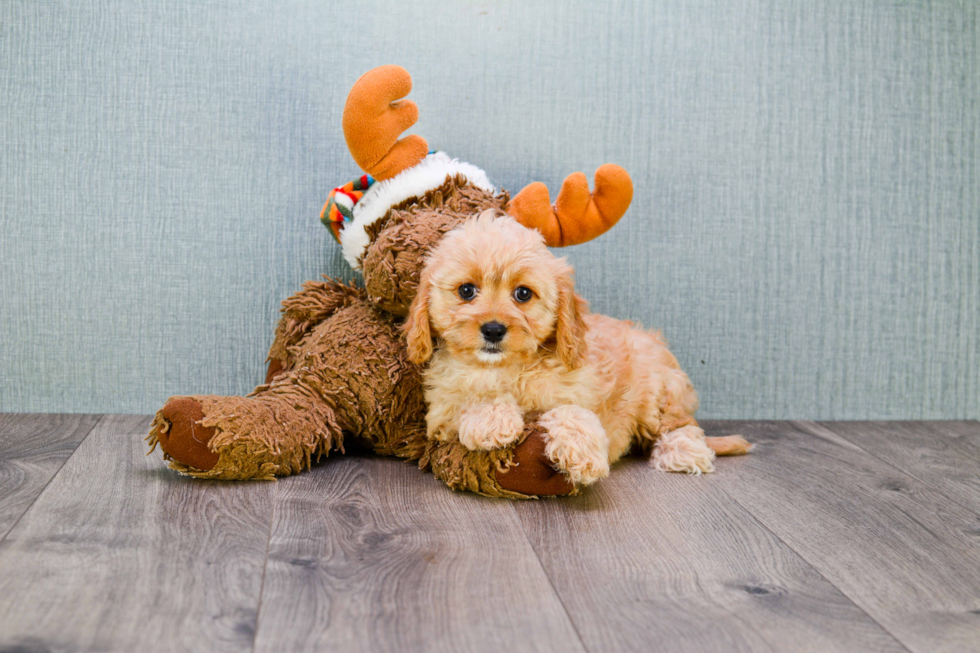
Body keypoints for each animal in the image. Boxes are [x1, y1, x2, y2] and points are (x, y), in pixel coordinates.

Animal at [406, 209, 752, 484]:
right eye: (466, 290)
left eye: (523, 294)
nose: (493, 329)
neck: (507, 367)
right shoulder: (439, 413)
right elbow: (471, 399)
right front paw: (492, 420)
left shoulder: (577, 389)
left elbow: (570, 412)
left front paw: (583, 455)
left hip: (660, 395)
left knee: (682, 425)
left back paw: (684, 452)